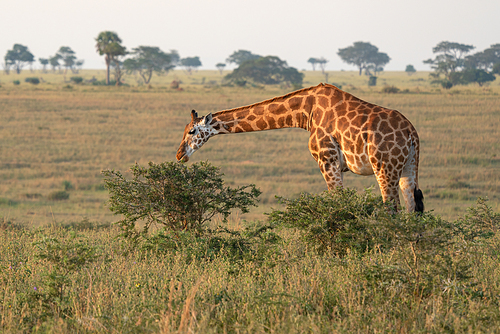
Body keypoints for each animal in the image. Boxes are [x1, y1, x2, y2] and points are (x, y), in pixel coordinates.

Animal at [174, 85, 424, 213]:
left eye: (192, 131)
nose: (179, 155)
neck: (306, 111)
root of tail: (411, 133)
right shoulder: (335, 165)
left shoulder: (327, 161)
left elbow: (337, 202)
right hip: (408, 167)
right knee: (412, 207)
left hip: (384, 167)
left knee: (392, 208)